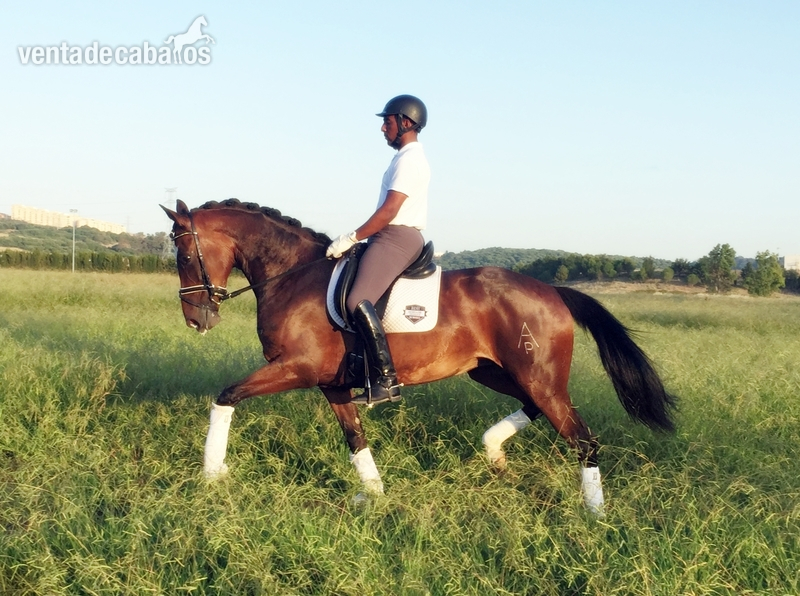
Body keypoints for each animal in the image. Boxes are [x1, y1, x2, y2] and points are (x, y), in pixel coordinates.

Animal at [163, 198, 676, 516]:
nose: (195, 319)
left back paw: (594, 515)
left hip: (536, 376)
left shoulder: (296, 369)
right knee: (536, 410)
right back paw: (495, 454)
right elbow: (355, 438)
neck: (293, 276)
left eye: (184, 254)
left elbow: (225, 396)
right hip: (495, 372)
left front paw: (212, 475)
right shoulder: (332, 383)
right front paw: (373, 496)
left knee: (583, 440)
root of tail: (552, 290)